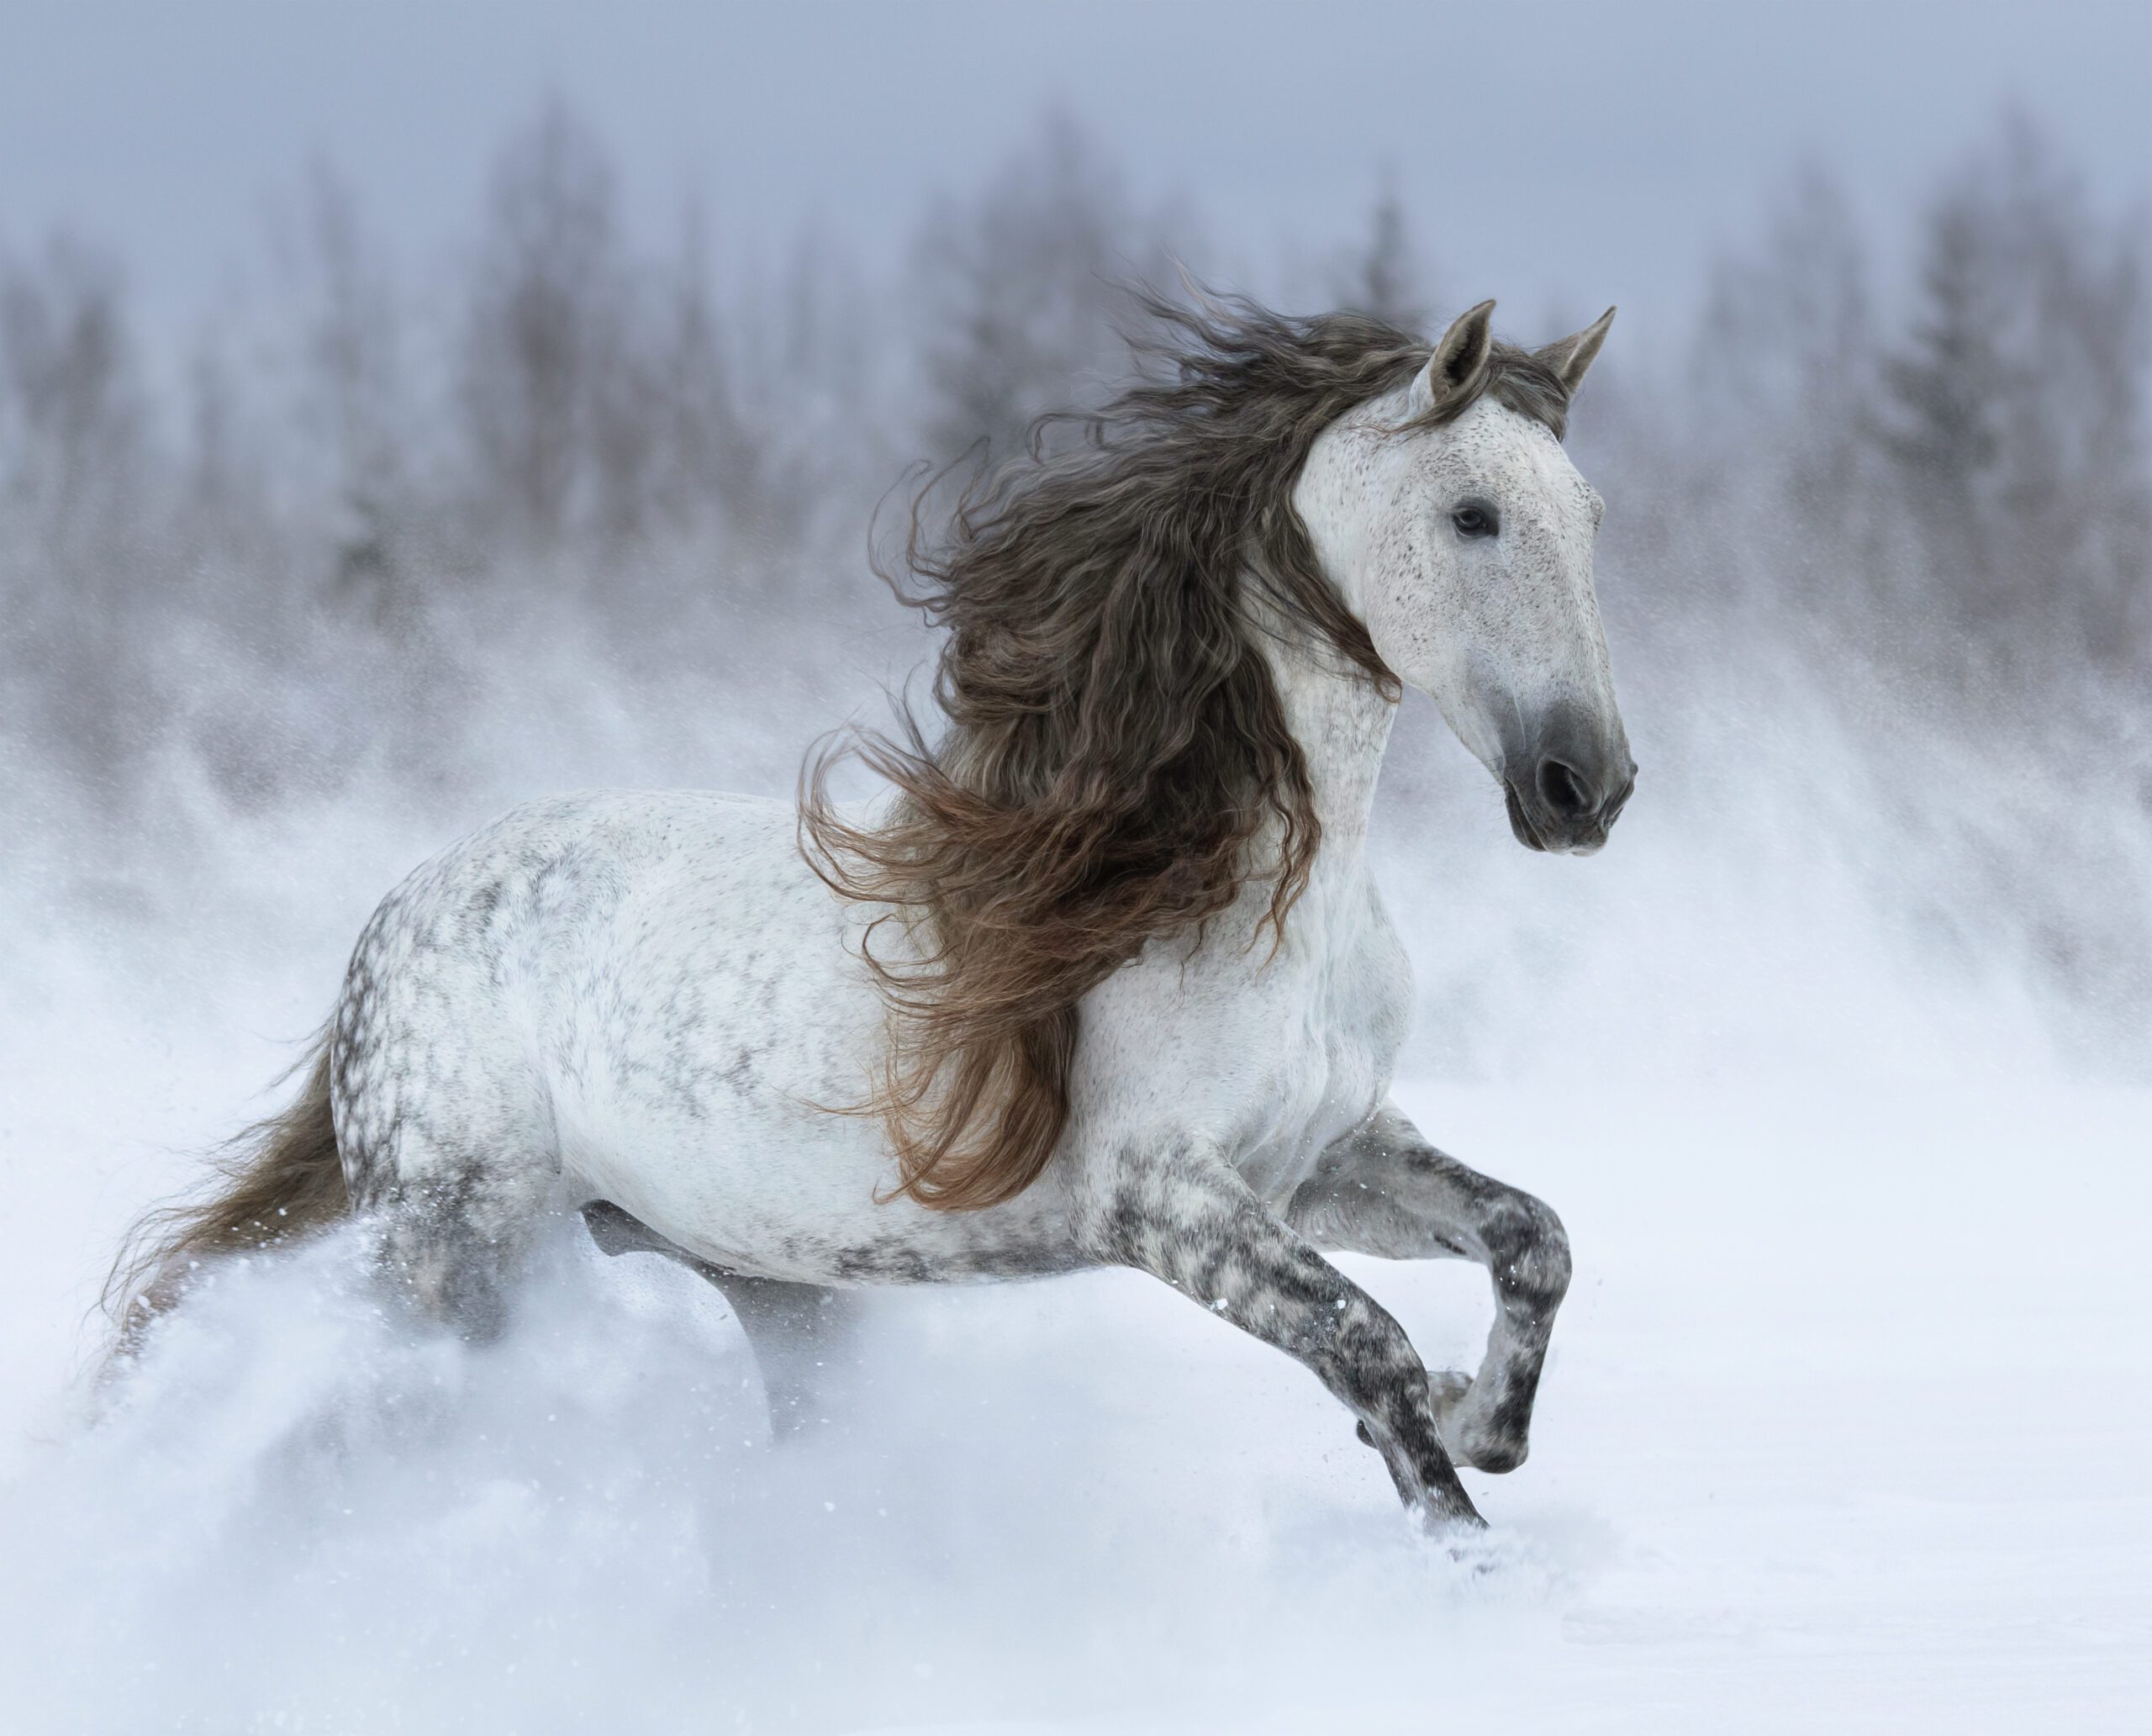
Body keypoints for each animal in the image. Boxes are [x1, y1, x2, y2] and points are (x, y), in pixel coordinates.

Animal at [118, 293, 1627, 1531]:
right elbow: (1363, 1341)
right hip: (459, 1259)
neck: (1247, 894)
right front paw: (1458, 1535)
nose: (1587, 785)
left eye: (1589, 514)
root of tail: (394, 917)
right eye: (1473, 513)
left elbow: (1533, 1239)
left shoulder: (1320, 1158)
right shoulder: (1162, 1200)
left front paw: (1475, 1422)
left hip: (771, 1285)